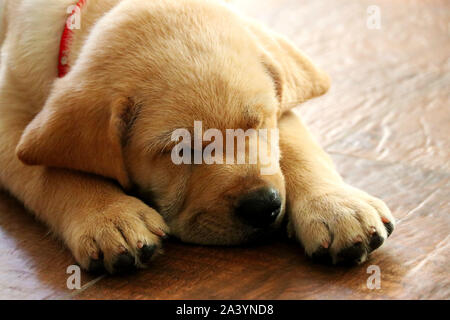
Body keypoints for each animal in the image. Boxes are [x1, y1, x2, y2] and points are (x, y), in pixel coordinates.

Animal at [0, 0, 394, 276]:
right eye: (181, 151)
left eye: (258, 124)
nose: (263, 206)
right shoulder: (8, 111)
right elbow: (49, 171)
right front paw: (109, 217)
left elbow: (296, 147)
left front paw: (336, 207)